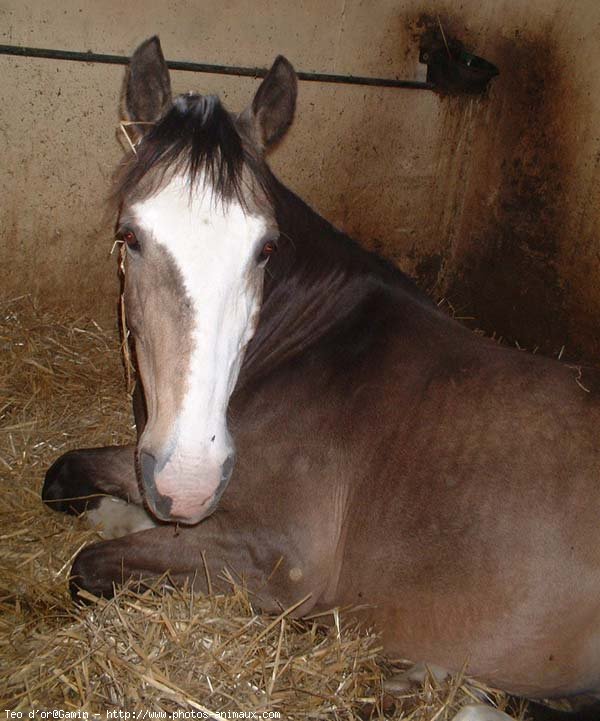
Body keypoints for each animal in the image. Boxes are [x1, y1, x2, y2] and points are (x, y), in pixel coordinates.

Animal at [44, 35, 600, 716]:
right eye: (130, 235)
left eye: (266, 249)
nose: (191, 481)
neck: (310, 343)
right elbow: (66, 474)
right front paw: (116, 509)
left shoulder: (281, 559)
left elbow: (91, 566)